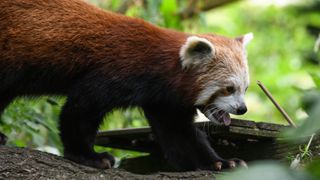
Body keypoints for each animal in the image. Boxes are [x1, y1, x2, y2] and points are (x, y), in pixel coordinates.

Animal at [0, 0, 252, 171]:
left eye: (246, 88)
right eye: (229, 88)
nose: (242, 109)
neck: (160, 66)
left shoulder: (165, 102)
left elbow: (181, 136)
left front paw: (221, 162)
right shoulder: (114, 72)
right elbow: (80, 111)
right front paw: (87, 156)